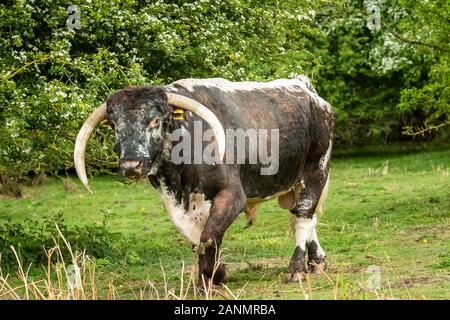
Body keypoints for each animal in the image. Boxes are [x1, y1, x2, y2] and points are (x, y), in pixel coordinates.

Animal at [74, 75, 334, 284]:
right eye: (114, 125)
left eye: (155, 120)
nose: (131, 165)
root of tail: (304, 86)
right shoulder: (176, 203)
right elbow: (199, 240)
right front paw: (214, 276)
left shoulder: (232, 195)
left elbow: (208, 238)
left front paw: (212, 277)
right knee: (305, 216)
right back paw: (317, 262)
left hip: (316, 171)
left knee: (303, 216)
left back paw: (296, 270)